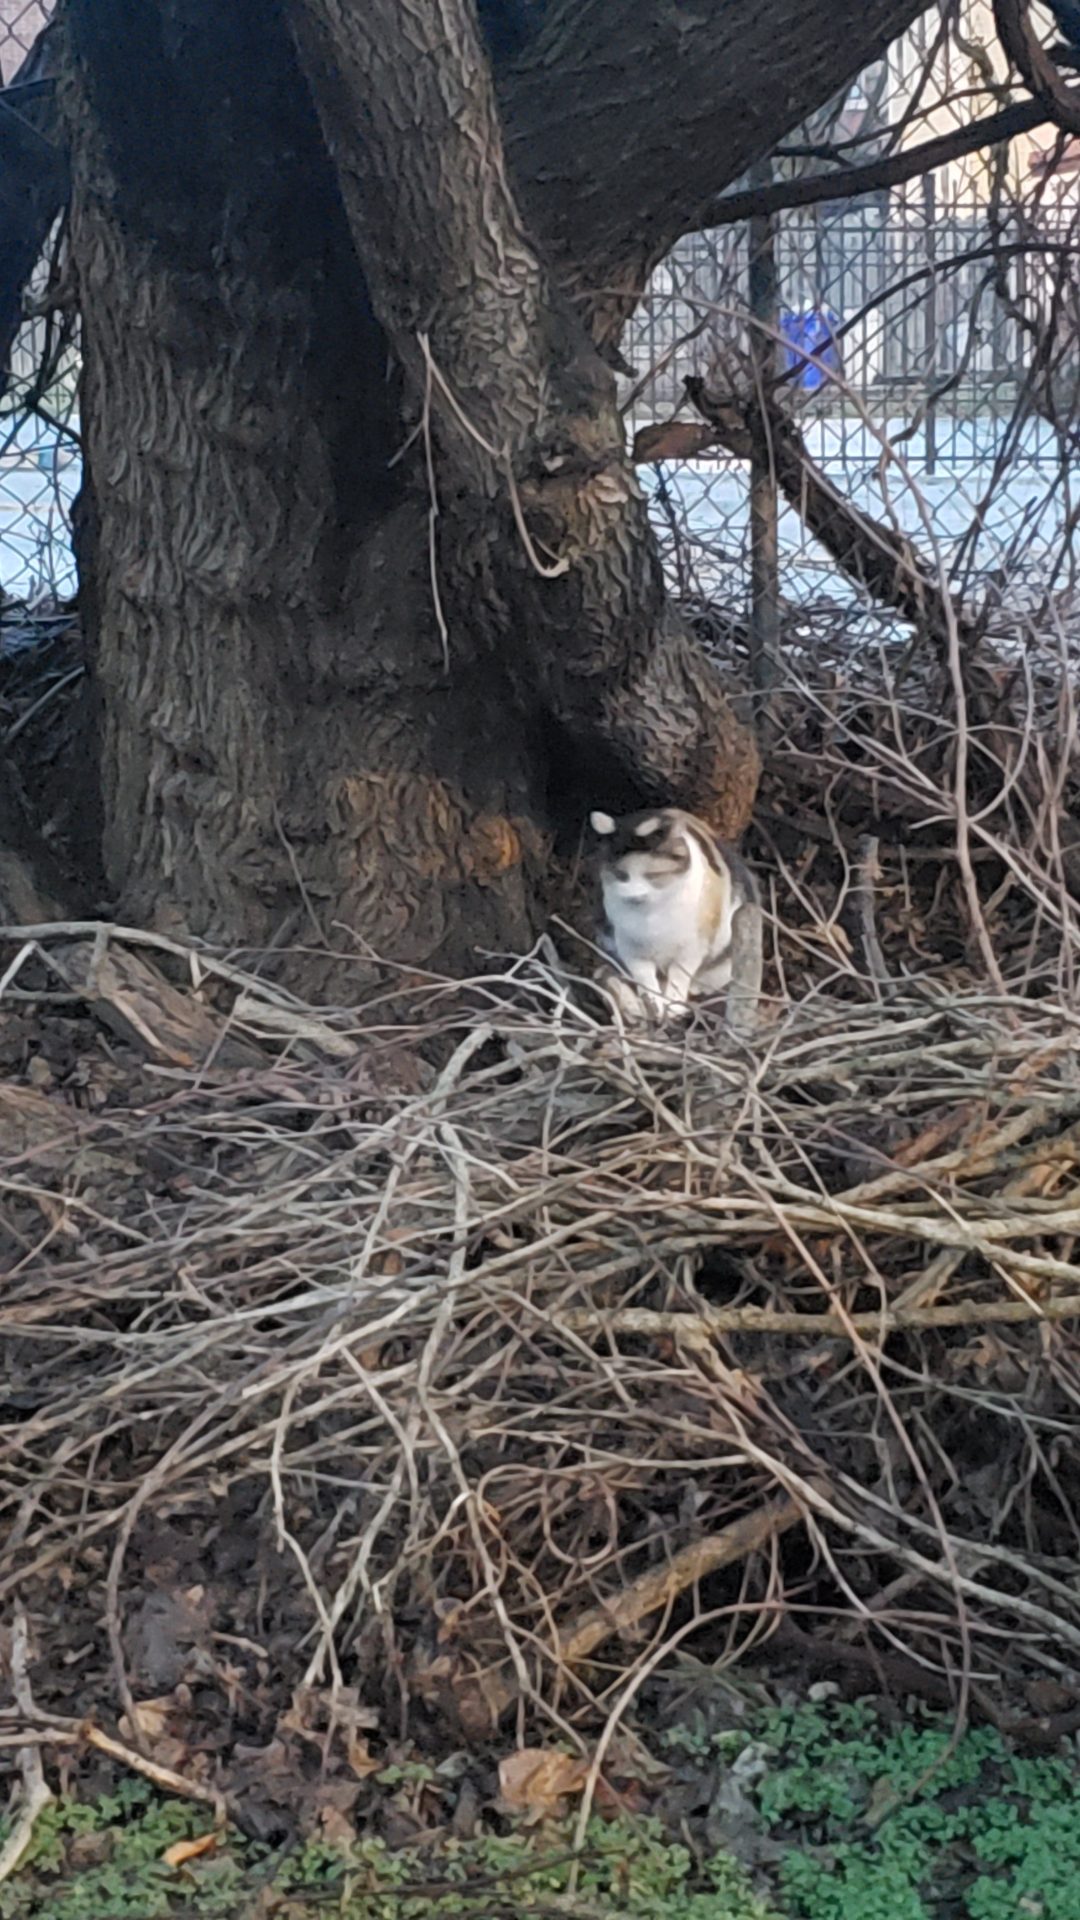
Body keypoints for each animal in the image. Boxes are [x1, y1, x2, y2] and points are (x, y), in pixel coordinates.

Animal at [589, 806, 758, 1021]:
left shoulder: (692, 948)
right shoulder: (630, 947)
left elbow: (679, 975)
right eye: (621, 875)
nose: (634, 896)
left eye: (652, 875)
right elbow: (644, 975)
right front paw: (654, 1004)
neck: (650, 914)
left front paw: (674, 1007)